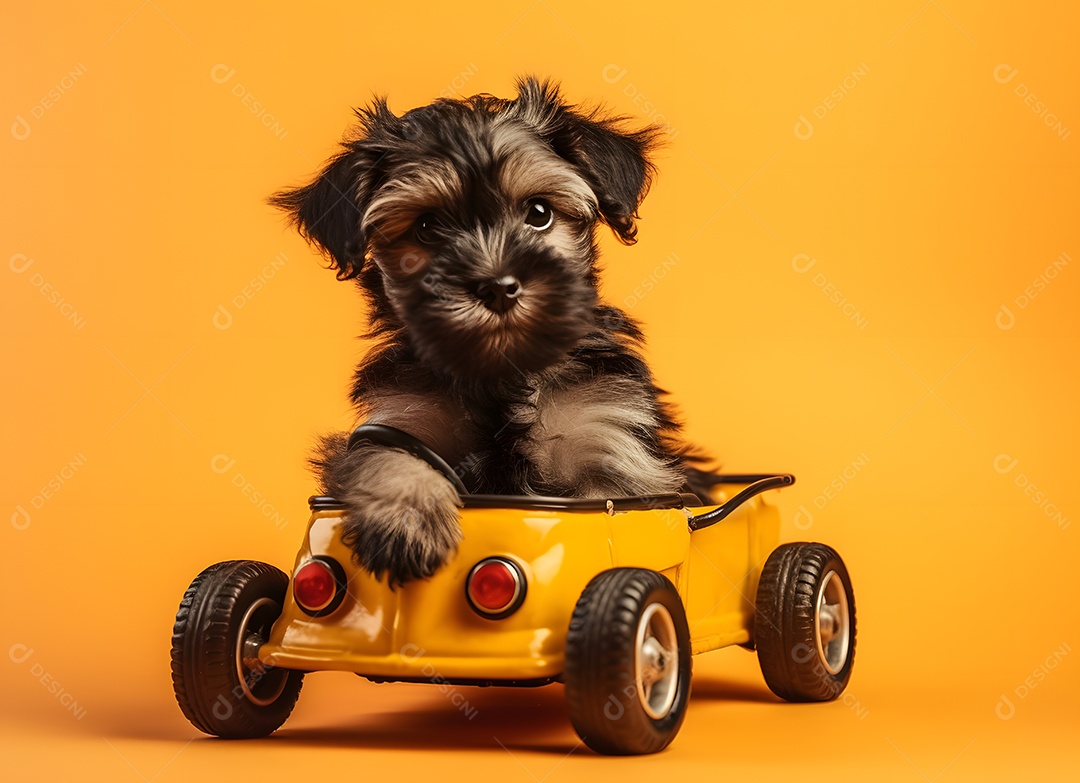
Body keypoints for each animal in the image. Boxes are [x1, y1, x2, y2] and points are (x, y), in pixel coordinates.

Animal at [270, 76, 708, 583]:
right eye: (427, 226)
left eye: (539, 212)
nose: (497, 287)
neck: (504, 369)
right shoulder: (398, 417)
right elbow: (380, 453)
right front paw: (406, 520)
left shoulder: (610, 439)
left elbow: (610, 511)